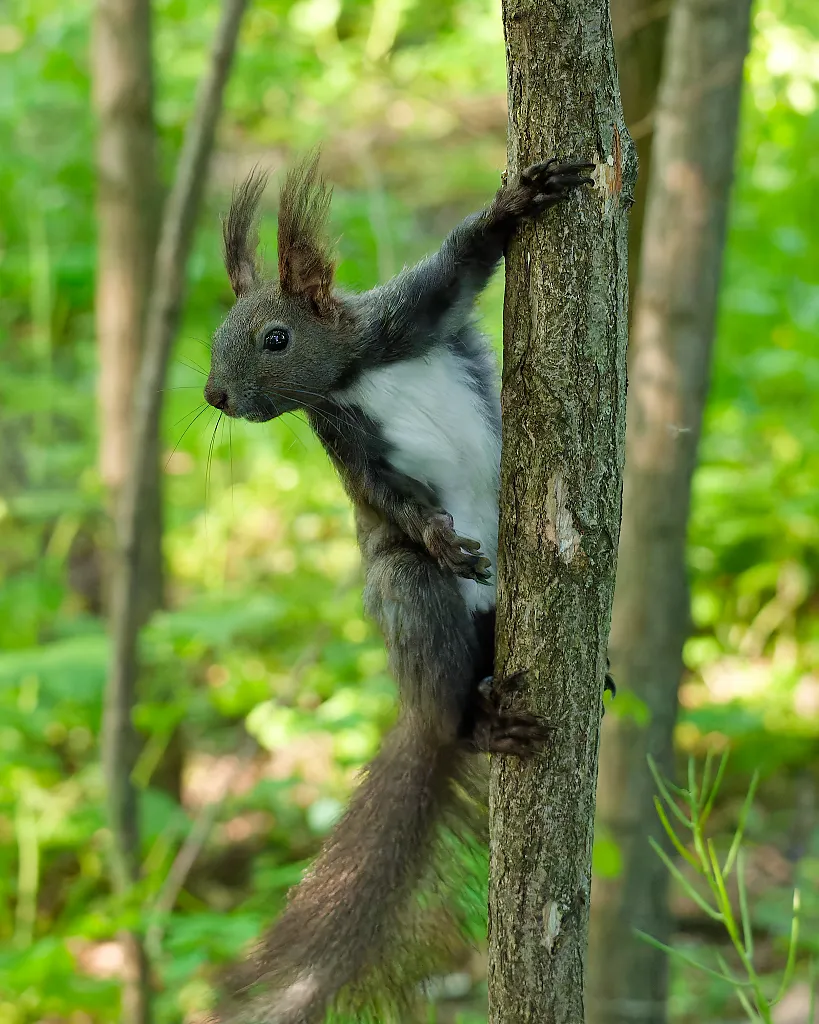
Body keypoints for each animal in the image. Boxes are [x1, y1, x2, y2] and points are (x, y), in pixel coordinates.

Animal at [202, 151, 606, 1024]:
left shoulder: (408, 317)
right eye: (215, 340)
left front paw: (512, 206)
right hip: (414, 602)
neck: (352, 374)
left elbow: (459, 266)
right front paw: (438, 535)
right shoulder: (347, 441)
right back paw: (478, 724)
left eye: (275, 338)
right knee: (426, 621)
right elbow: (389, 497)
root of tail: (430, 709)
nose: (215, 395)